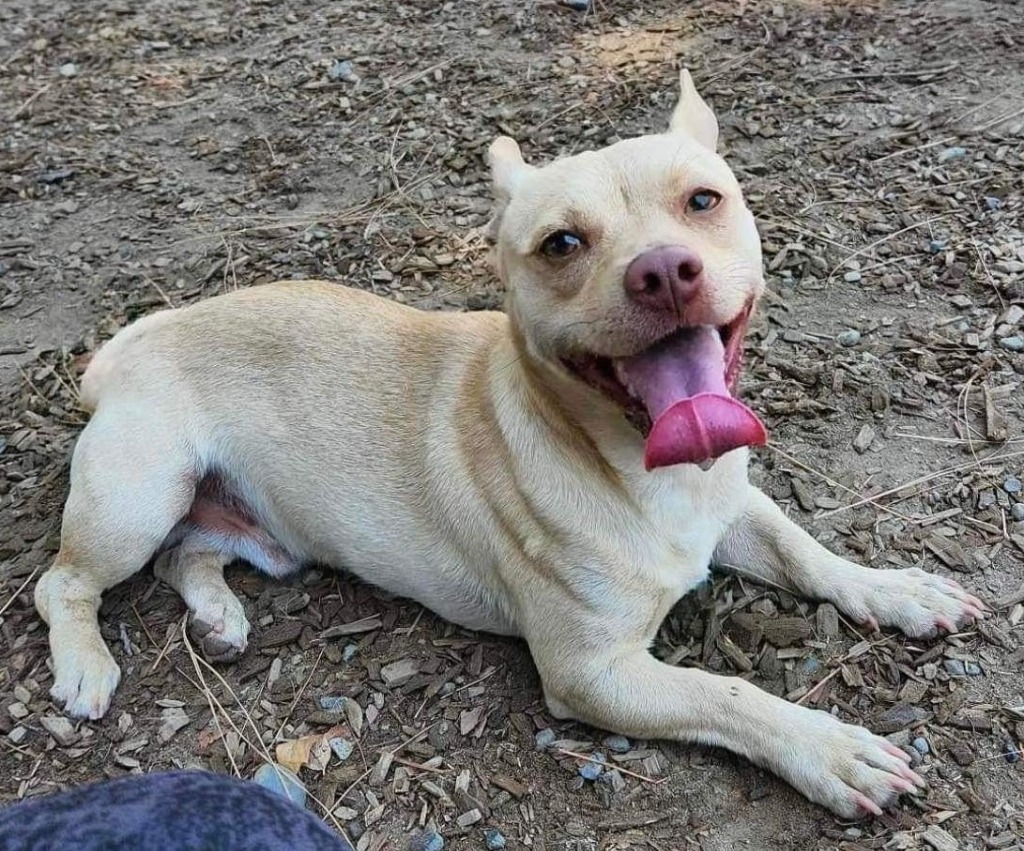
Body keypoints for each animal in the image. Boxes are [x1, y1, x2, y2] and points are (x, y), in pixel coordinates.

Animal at [37, 73, 983, 819]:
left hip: (241, 527)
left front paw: (897, 589)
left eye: (703, 201)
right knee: (65, 580)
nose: (663, 270)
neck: (641, 467)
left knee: (188, 554)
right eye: (561, 244)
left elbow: (807, 550)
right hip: (138, 495)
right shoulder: (594, 672)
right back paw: (86, 663)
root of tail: (132, 339)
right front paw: (827, 748)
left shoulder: (736, 504)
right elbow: (731, 693)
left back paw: (220, 614)